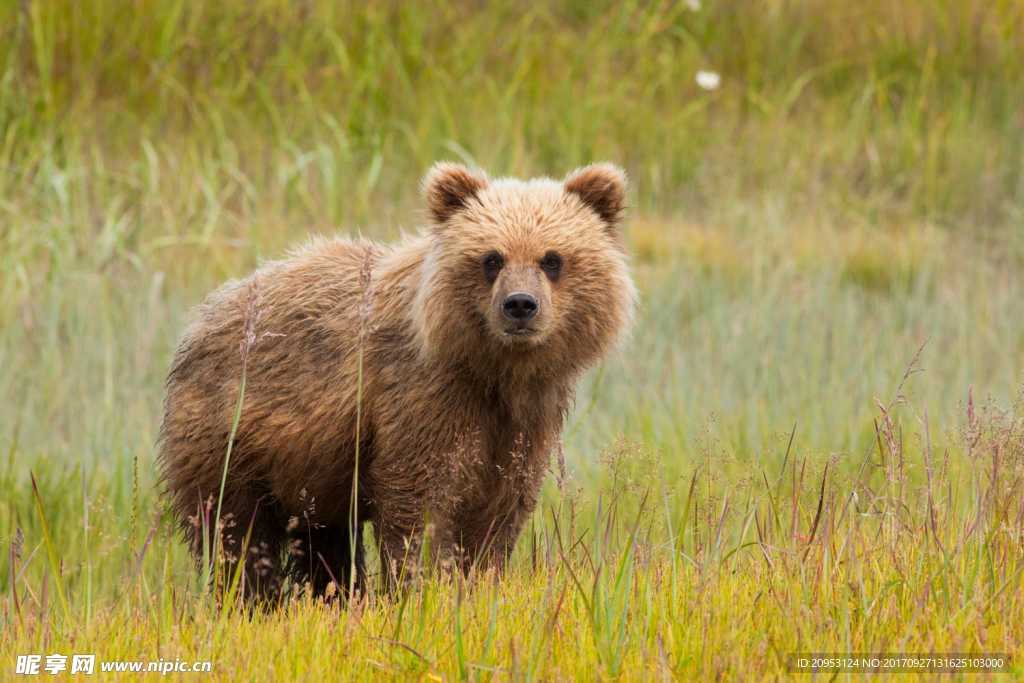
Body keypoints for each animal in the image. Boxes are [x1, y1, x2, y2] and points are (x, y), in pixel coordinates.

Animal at [156, 162, 634, 602]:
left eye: (552, 258)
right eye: (491, 258)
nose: (520, 305)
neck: (492, 370)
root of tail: (201, 319)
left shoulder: (524, 420)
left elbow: (500, 507)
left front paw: (480, 582)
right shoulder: (423, 399)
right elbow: (419, 504)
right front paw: (422, 589)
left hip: (311, 470)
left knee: (324, 541)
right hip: (231, 436)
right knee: (234, 531)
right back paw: (250, 599)